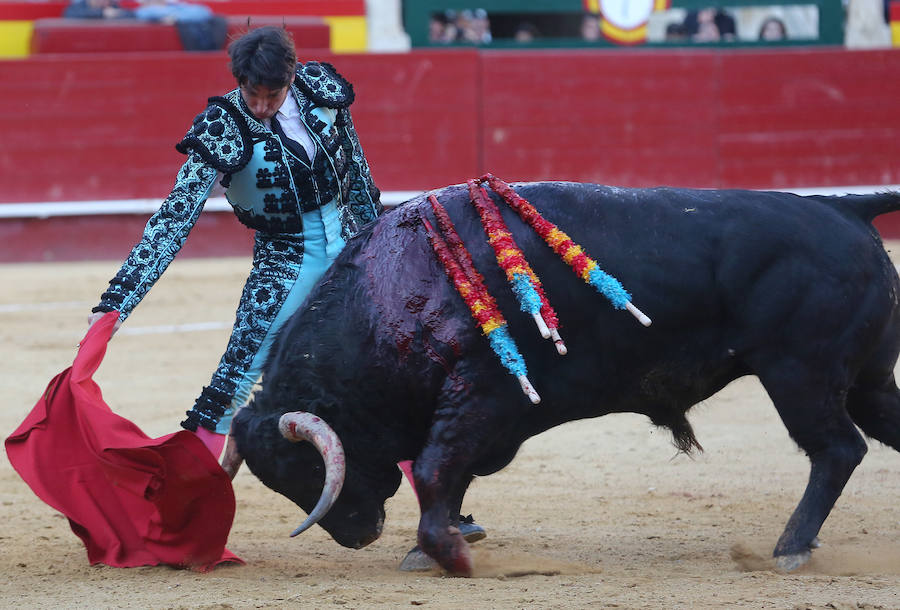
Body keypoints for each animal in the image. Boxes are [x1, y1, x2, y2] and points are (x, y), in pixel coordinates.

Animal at [229, 182, 900, 576]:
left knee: (838, 450)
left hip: (799, 374)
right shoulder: (476, 411)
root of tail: (843, 206)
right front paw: (433, 546)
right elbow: (445, 473)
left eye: (306, 468)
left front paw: (449, 554)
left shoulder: (483, 394)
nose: (357, 535)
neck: (395, 294)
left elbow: (435, 467)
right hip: (866, 379)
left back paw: (790, 548)